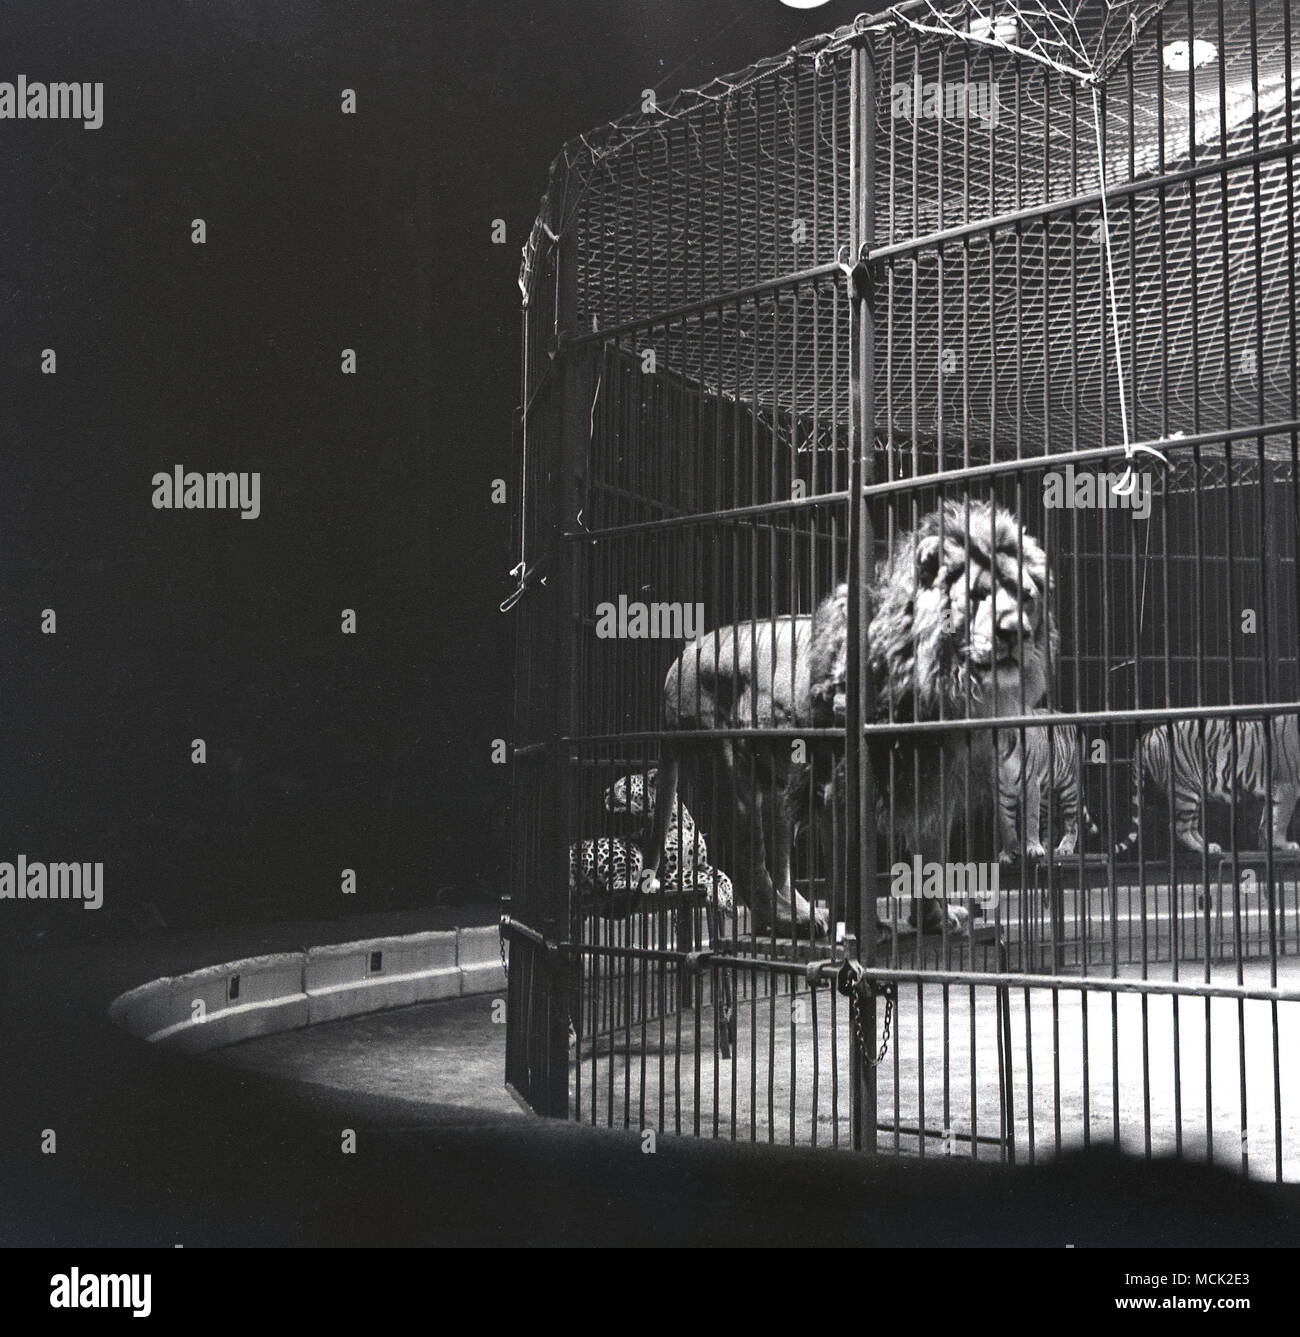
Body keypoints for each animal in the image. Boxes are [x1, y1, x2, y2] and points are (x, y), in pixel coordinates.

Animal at [644, 500, 1059, 941]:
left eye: (1026, 595)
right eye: (978, 594)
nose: (1014, 631)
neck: (946, 679)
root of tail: (677, 663)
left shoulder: (934, 778)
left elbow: (931, 854)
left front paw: (935, 920)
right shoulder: (841, 786)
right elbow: (850, 866)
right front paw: (865, 927)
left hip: (780, 786)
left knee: (778, 864)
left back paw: (798, 913)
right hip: (731, 777)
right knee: (747, 864)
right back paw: (794, 919)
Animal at [995, 711, 1096, 866]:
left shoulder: (1031, 785)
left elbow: (1031, 819)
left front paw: (1033, 848)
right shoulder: (1003, 791)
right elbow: (1006, 823)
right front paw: (1008, 853)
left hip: (1070, 788)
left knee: (1072, 824)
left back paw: (1064, 848)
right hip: (1044, 798)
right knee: (1051, 827)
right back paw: (1046, 848)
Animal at [1112, 721, 1300, 855]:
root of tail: (1148, 734)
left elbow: (1268, 820)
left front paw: (1266, 844)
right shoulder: (1287, 786)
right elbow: (1280, 820)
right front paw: (1285, 845)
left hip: (1193, 792)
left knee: (1191, 827)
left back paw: (1209, 846)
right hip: (1186, 790)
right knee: (1179, 828)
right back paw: (1204, 849)